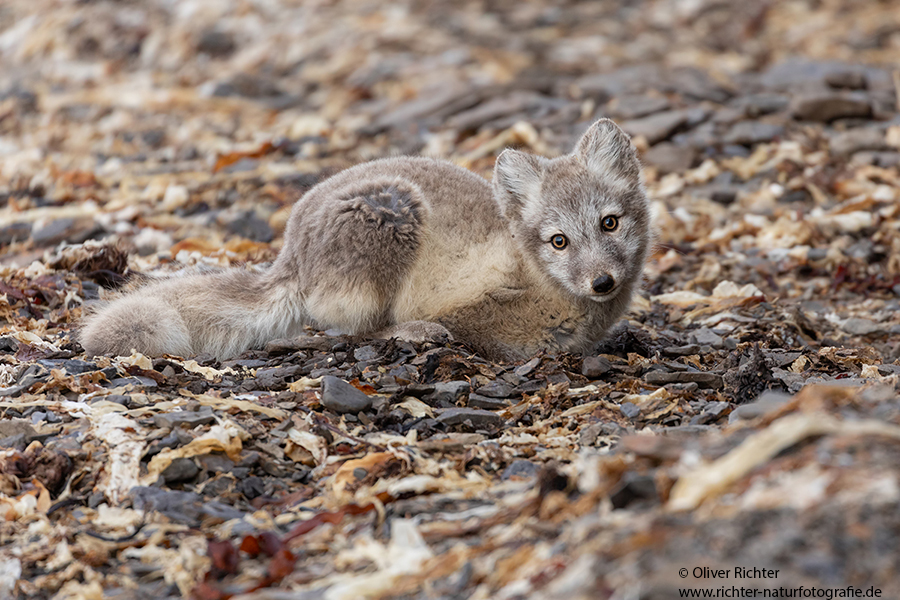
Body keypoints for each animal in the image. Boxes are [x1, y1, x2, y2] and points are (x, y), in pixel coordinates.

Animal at [79, 118, 652, 362]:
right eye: (558, 241)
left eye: (609, 223)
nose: (602, 282)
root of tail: (290, 254)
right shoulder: (472, 305)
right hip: (390, 212)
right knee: (353, 330)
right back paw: (413, 334)